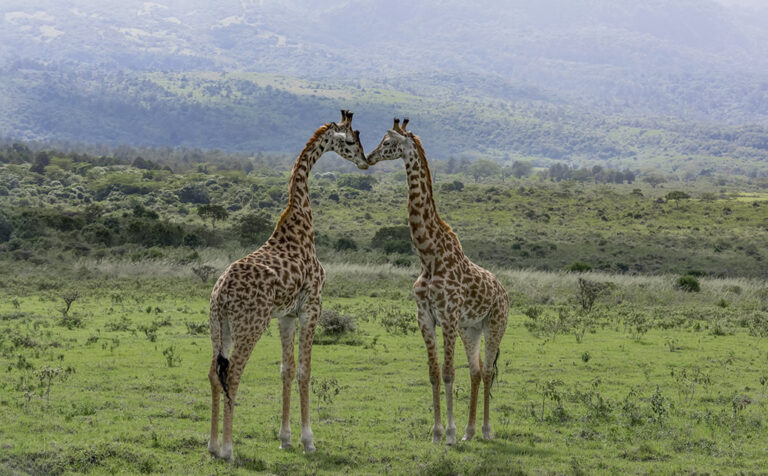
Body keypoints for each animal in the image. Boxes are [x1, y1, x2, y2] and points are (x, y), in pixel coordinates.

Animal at [207, 110, 367, 461]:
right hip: (250, 325)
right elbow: (304, 370)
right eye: (351, 141)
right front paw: (308, 440)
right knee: (232, 374)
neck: (301, 226)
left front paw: (285, 438)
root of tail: (220, 294)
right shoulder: (311, 307)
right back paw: (228, 449)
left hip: (218, 327)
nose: (365, 162)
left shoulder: (286, 315)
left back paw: (211, 445)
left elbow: (286, 369)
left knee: (213, 373)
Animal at [366, 118, 509, 445]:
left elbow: (447, 373)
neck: (428, 254)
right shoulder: (425, 317)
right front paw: (436, 432)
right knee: (476, 370)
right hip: (471, 329)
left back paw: (485, 430)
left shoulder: (448, 316)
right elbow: (433, 373)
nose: (369, 157)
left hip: (495, 324)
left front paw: (451, 434)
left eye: (388, 142)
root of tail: (504, 291)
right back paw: (471, 431)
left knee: (487, 372)